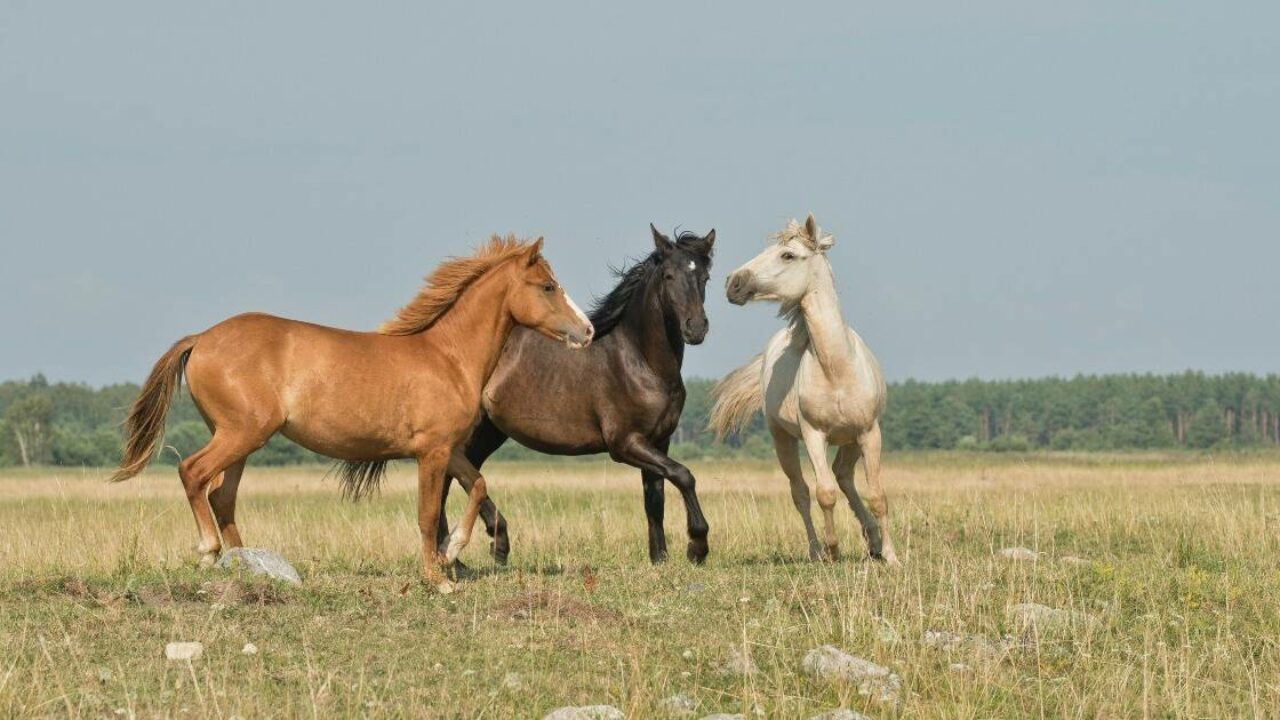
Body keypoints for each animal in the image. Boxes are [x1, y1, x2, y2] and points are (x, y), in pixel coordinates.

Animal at [108, 235, 588, 589]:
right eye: (547, 286)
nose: (586, 330)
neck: (447, 357)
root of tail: (202, 338)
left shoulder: (447, 449)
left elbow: (478, 486)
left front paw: (453, 550)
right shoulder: (431, 452)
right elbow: (427, 514)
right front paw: (438, 578)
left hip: (238, 439)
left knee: (222, 495)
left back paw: (248, 565)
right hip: (241, 433)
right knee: (193, 473)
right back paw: (209, 552)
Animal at [440, 224, 716, 561]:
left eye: (705, 277)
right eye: (668, 276)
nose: (696, 328)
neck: (640, 362)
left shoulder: (658, 441)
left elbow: (655, 500)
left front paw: (660, 559)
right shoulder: (625, 443)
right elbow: (683, 475)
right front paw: (697, 546)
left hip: (489, 431)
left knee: (462, 474)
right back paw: (477, 546)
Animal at [706, 212, 896, 561]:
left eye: (788, 255)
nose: (733, 283)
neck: (837, 369)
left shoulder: (869, 433)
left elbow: (877, 495)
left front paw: (891, 555)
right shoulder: (813, 435)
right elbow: (824, 493)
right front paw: (833, 550)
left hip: (851, 440)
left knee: (844, 475)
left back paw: (873, 541)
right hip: (783, 439)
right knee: (801, 492)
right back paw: (817, 550)